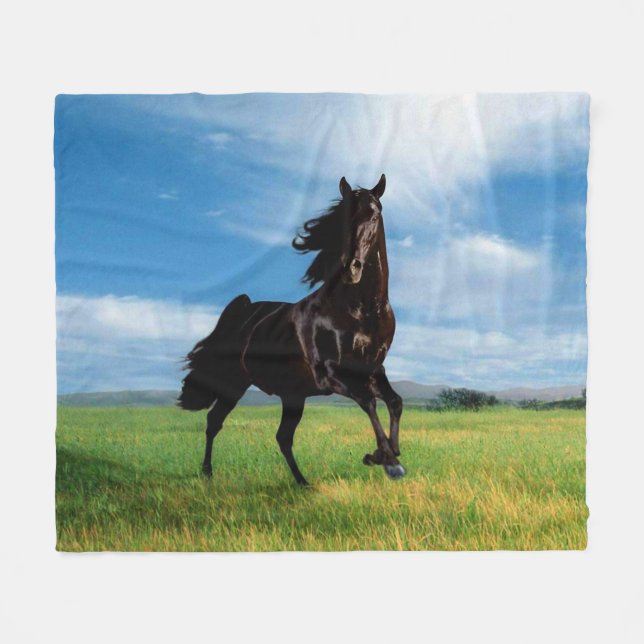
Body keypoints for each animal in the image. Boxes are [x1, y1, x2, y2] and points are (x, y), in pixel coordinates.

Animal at [178, 174, 405, 485]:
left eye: (374, 214)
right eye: (342, 219)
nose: (351, 268)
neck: (362, 310)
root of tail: (244, 311)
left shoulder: (373, 370)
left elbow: (395, 402)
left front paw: (391, 453)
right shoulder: (332, 374)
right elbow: (369, 402)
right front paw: (385, 459)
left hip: (292, 395)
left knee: (282, 437)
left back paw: (303, 482)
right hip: (233, 383)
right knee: (215, 421)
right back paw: (208, 473)